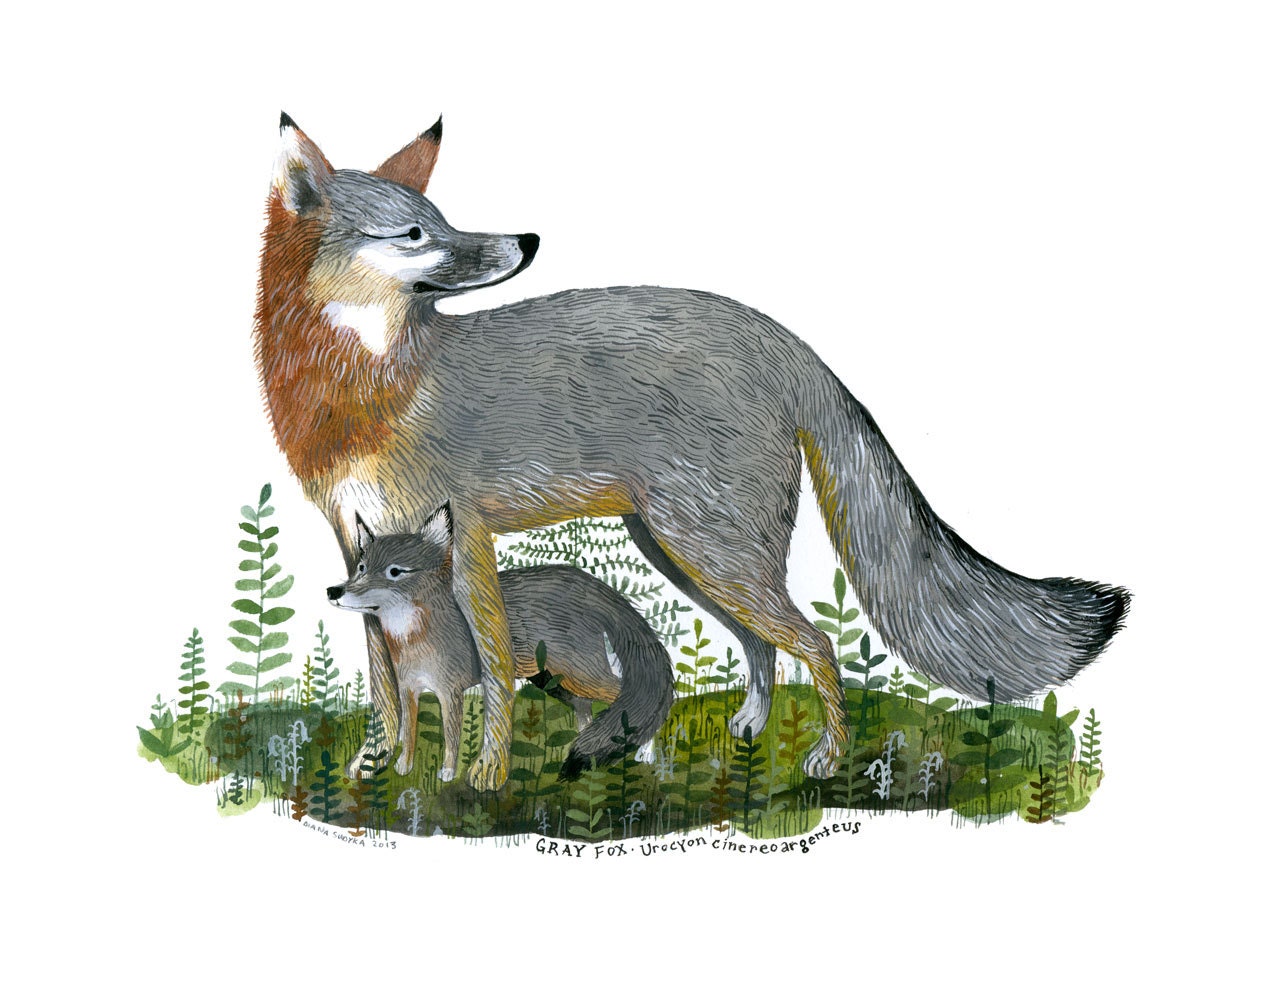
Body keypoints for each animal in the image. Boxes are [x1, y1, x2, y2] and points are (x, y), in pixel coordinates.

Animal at [327, 506, 674, 781]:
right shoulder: (409, 690)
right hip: (556, 682)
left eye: (395, 572)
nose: (333, 591)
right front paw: (403, 768)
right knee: (588, 710)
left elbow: (451, 738)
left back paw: (644, 752)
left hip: (584, 676)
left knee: (646, 699)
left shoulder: (450, 693)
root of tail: (596, 586)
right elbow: (408, 734)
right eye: (361, 568)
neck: (413, 640)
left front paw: (447, 774)